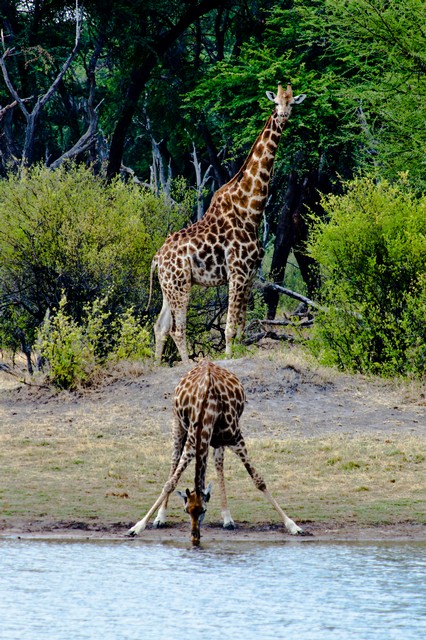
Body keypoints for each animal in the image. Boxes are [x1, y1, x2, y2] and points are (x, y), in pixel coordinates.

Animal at [127, 360, 304, 544]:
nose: (195, 537)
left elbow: (259, 481)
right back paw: (160, 518)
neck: (208, 408)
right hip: (178, 424)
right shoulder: (192, 444)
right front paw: (137, 527)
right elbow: (170, 483)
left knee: (218, 464)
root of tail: (206, 361)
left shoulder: (236, 439)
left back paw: (227, 518)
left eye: (204, 510)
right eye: (186, 510)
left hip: (218, 441)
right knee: (175, 460)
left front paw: (293, 525)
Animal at [149, 83, 306, 362]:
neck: (250, 209)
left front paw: (239, 351)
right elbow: (231, 326)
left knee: (160, 327)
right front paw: (229, 357)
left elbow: (242, 325)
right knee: (177, 329)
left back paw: (156, 365)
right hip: (180, 285)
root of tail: (157, 259)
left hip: (168, 287)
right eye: (276, 102)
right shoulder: (238, 271)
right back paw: (187, 364)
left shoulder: (250, 274)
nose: (283, 115)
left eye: (291, 102)